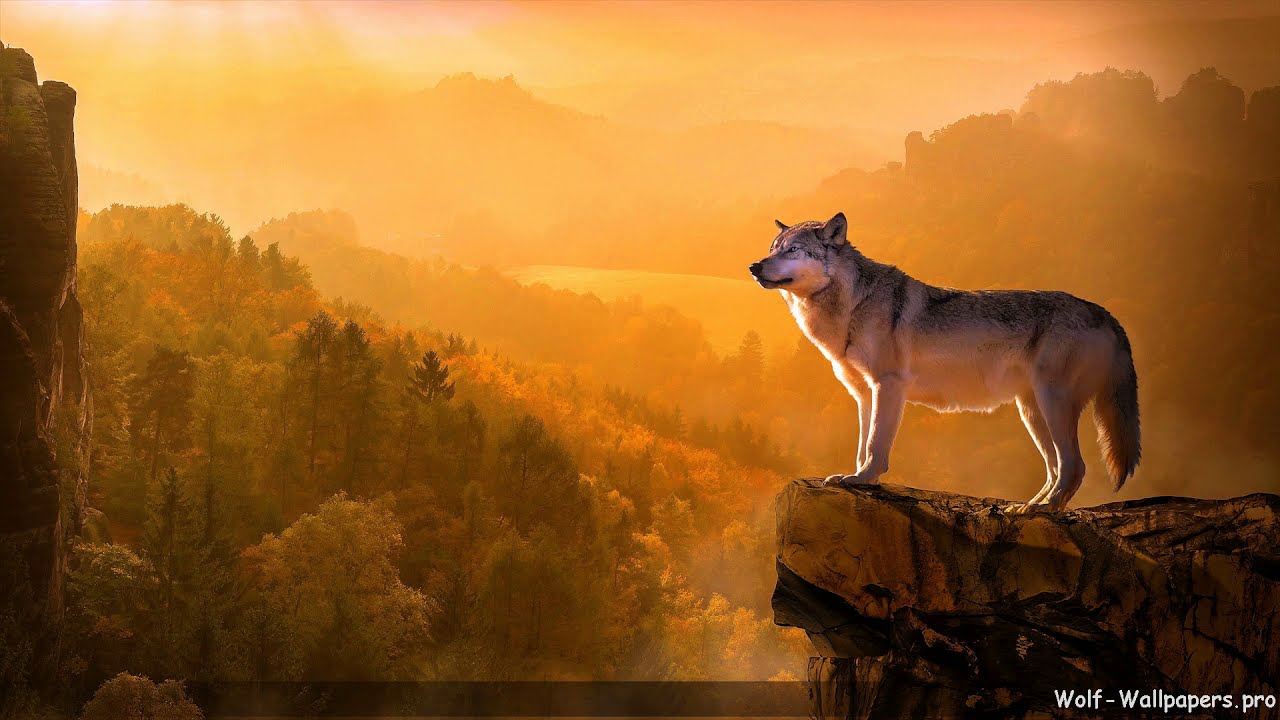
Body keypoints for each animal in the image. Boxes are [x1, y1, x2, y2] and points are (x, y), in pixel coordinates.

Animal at [749, 213, 1140, 512]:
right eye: (772, 249)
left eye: (793, 250)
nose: (753, 266)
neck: (852, 305)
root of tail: (1105, 313)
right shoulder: (863, 394)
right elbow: (862, 445)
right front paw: (856, 478)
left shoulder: (888, 385)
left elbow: (875, 444)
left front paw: (865, 479)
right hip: (1031, 411)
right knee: (1055, 468)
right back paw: (1027, 507)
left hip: (1051, 404)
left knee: (1074, 465)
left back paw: (1043, 510)